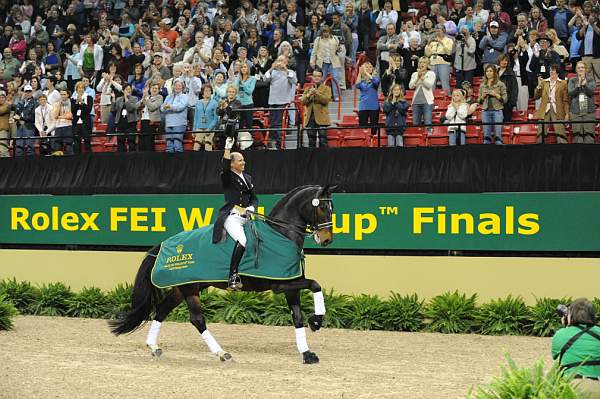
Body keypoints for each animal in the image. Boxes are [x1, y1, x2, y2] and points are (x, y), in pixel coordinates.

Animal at [108, 186, 336, 364]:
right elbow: (315, 284)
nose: (326, 240)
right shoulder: (279, 285)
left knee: (162, 310)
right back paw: (222, 353)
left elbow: (297, 316)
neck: (281, 235)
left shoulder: (291, 282)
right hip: (189, 289)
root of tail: (166, 243)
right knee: (197, 319)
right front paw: (317, 320)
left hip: (186, 286)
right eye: (322, 208)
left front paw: (307, 353)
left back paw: (153, 347)